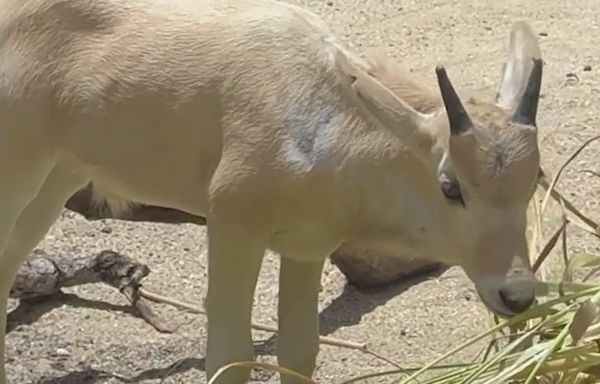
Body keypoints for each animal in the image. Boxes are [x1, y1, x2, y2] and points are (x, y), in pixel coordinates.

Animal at [0, 0, 544, 382]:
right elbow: (230, 356)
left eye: (534, 179)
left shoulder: (306, 246)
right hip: (18, 167)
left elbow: (300, 351)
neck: (315, 104)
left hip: (58, 177)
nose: (516, 294)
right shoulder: (232, 225)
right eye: (450, 185)